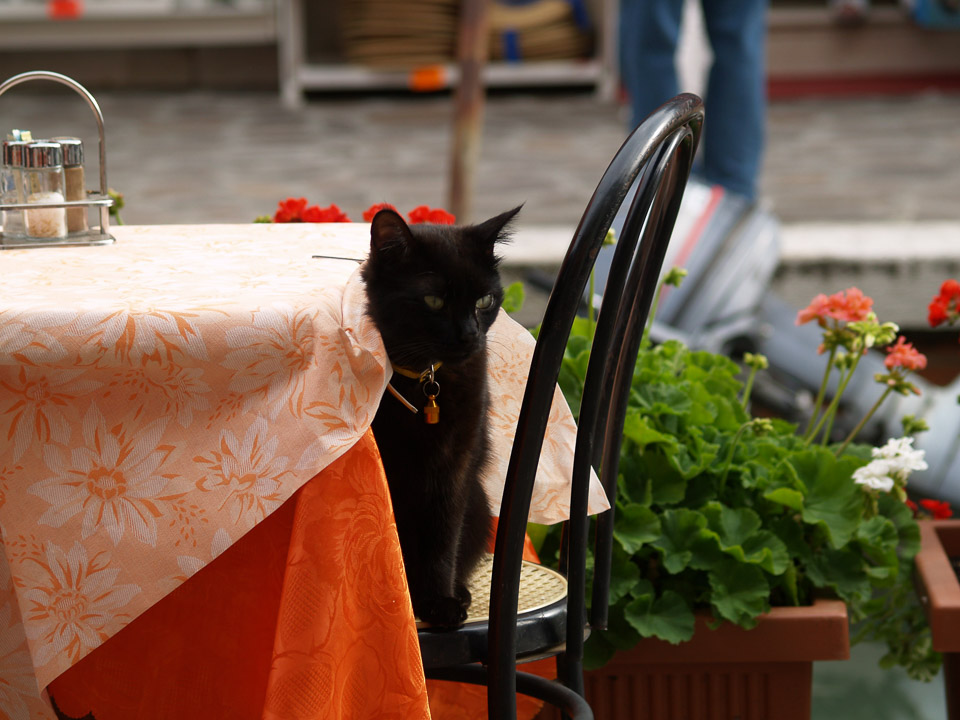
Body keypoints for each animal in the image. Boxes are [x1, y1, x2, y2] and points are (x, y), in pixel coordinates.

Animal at [364, 207, 520, 624]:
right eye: (433, 301)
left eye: (485, 300)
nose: (469, 335)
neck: (425, 378)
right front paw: (402, 601)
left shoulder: (454, 463)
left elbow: (442, 534)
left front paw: (438, 602)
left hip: (479, 505)